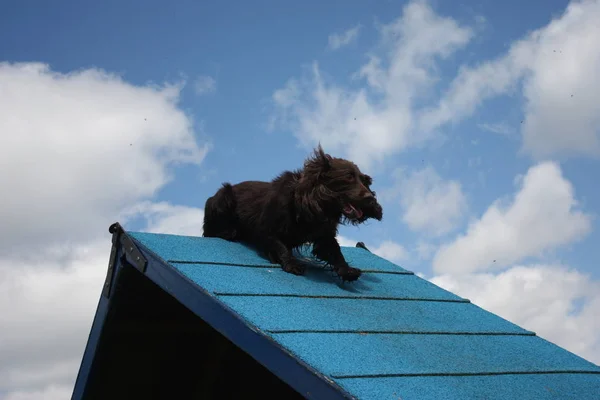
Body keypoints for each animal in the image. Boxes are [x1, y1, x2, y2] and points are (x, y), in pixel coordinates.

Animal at [200, 146, 380, 282]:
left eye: (364, 181)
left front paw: (347, 271)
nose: (370, 198)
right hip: (223, 196)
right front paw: (292, 264)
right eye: (348, 177)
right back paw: (229, 232)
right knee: (211, 231)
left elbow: (335, 250)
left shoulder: (324, 233)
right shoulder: (265, 228)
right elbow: (280, 245)